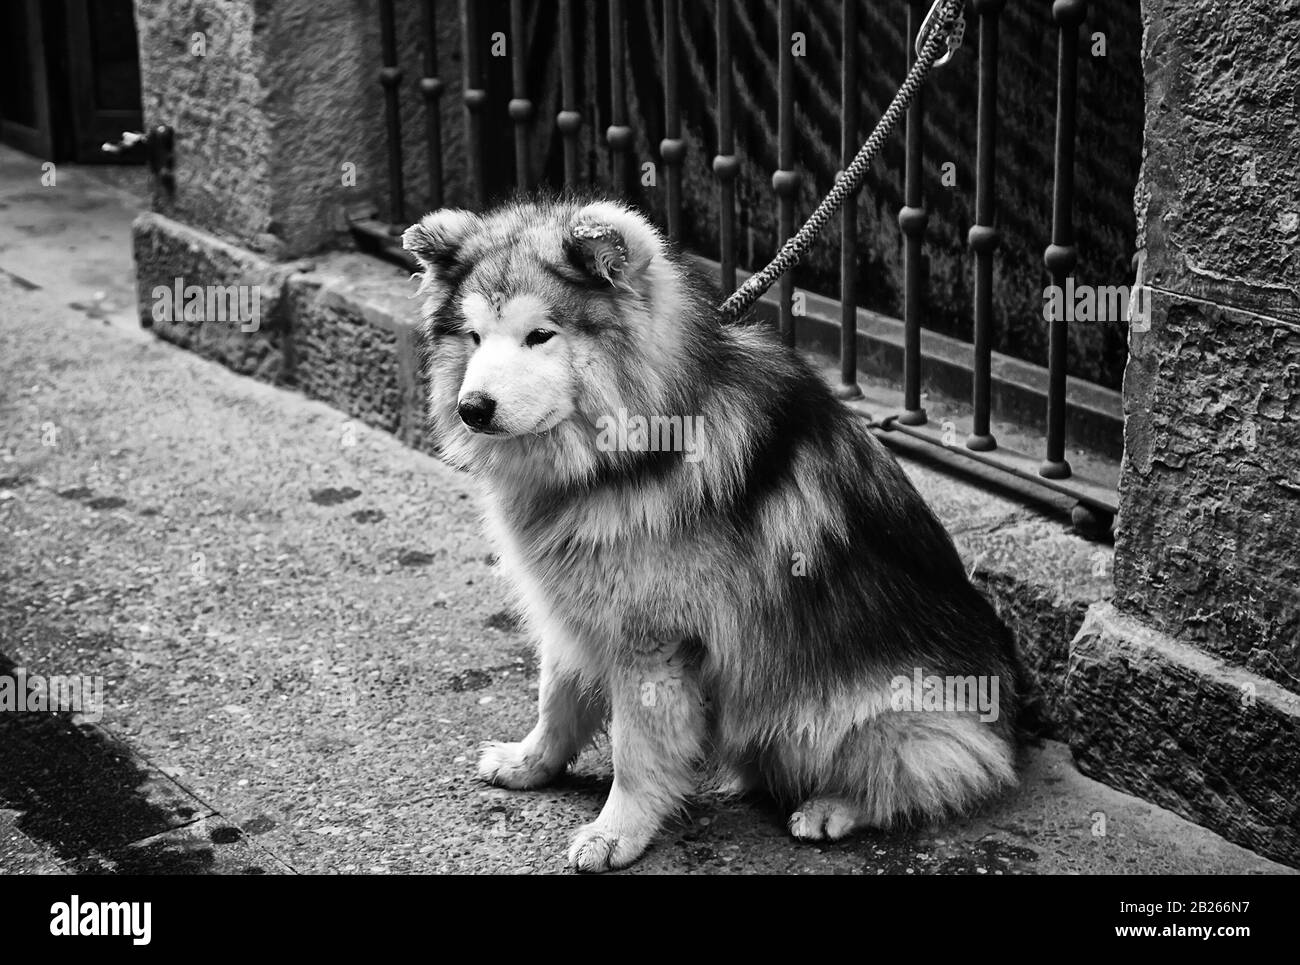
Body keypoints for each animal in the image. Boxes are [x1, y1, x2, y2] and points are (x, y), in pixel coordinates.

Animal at [400, 198, 1019, 879]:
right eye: (474, 337)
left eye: (540, 335)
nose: (472, 408)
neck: (626, 453)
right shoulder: (576, 608)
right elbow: (555, 700)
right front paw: (530, 764)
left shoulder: (654, 642)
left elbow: (635, 751)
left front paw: (616, 832)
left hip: (855, 713)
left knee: (930, 773)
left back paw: (832, 806)